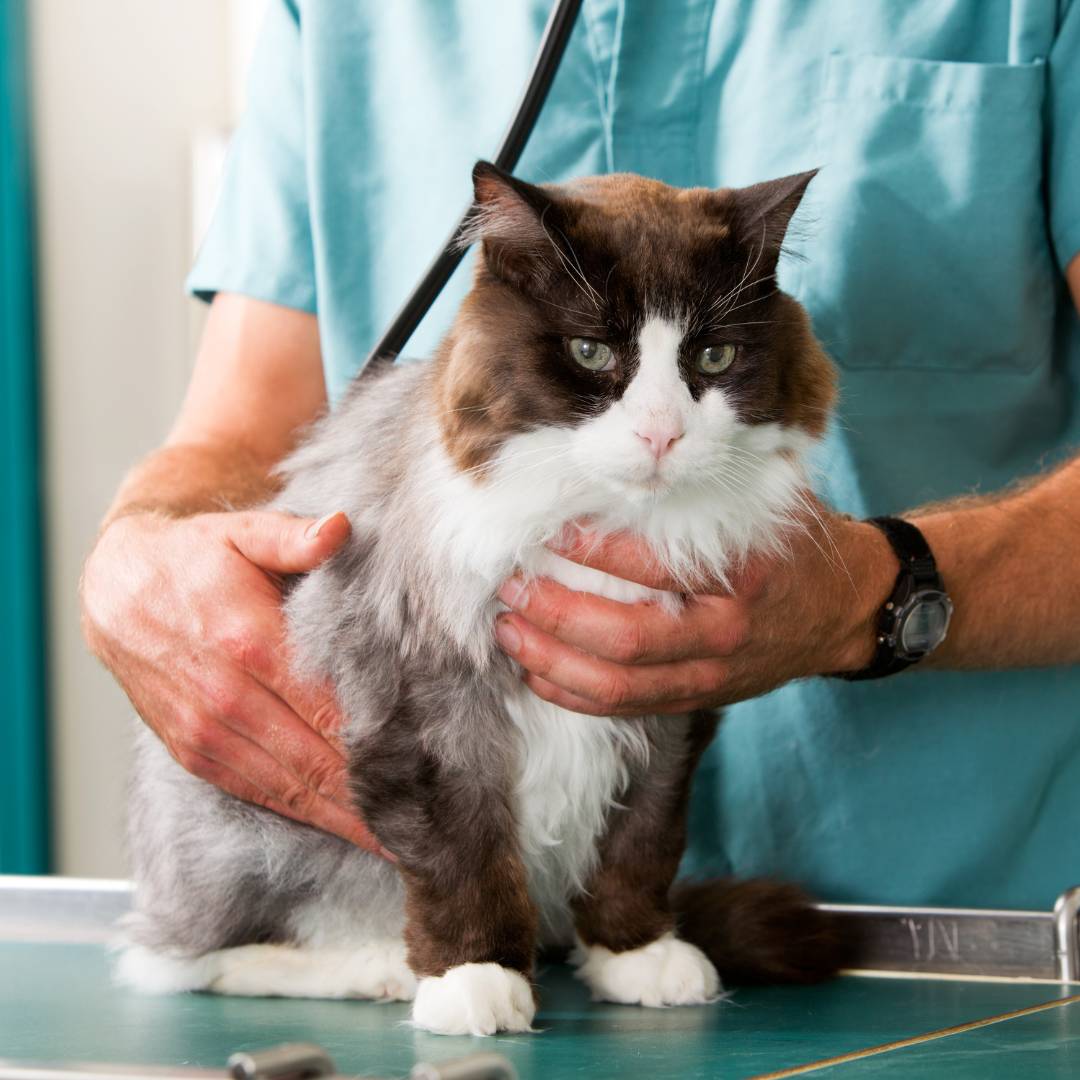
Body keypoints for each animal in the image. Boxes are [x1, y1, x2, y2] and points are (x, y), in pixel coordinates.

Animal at [116, 162, 842, 1036]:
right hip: (248, 836)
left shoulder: (667, 709)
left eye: (714, 355)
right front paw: (475, 979)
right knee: (182, 960)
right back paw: (376, 968)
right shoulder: (427, 709)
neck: (603, 522)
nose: (661, 434)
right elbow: (462, 858)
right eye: (590, 351)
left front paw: (634, 953)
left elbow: (640, 843)